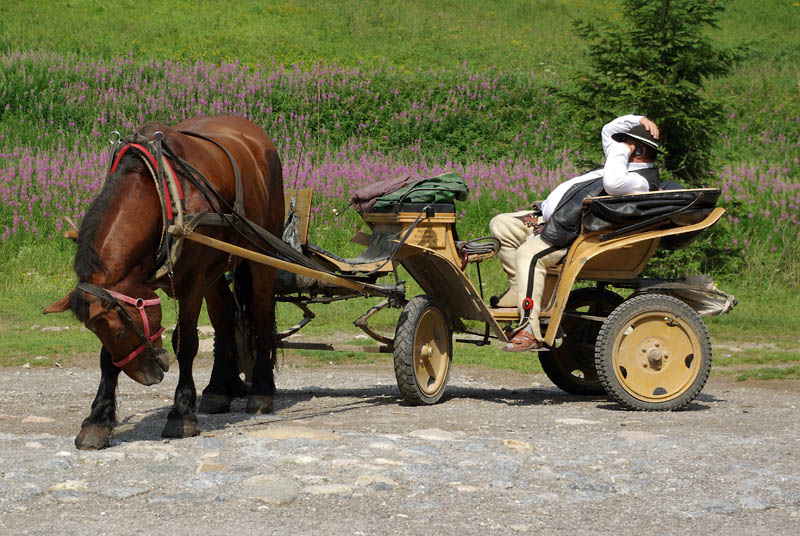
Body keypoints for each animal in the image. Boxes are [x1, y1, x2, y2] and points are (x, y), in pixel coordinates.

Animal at [44, 115, 284, 450]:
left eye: (119, 331)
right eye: (100, 332)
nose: (147, 376)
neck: (159, 193)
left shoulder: (191, 284)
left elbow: (187, 344)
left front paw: (181, 414)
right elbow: (106, 360)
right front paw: (98, 420)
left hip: (261, 253)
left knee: (261, 312)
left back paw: (262, 390)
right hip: (216, 270)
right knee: (225, 317)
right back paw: (218, 388)